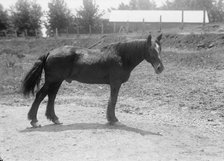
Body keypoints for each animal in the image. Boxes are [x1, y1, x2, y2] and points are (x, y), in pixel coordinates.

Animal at [21, 34, 164, 128]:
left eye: (160, 49)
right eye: (151, 50)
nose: (160, 68)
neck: (121, 56)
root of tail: (50, 52)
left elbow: (112, 100)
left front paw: (110, 119)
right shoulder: (115, 83)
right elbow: (113, 100)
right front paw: (113, 120)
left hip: (57, 81)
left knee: (51, 96)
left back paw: (55, 119)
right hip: (52, 81)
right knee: (40, 95)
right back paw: (34, 121)